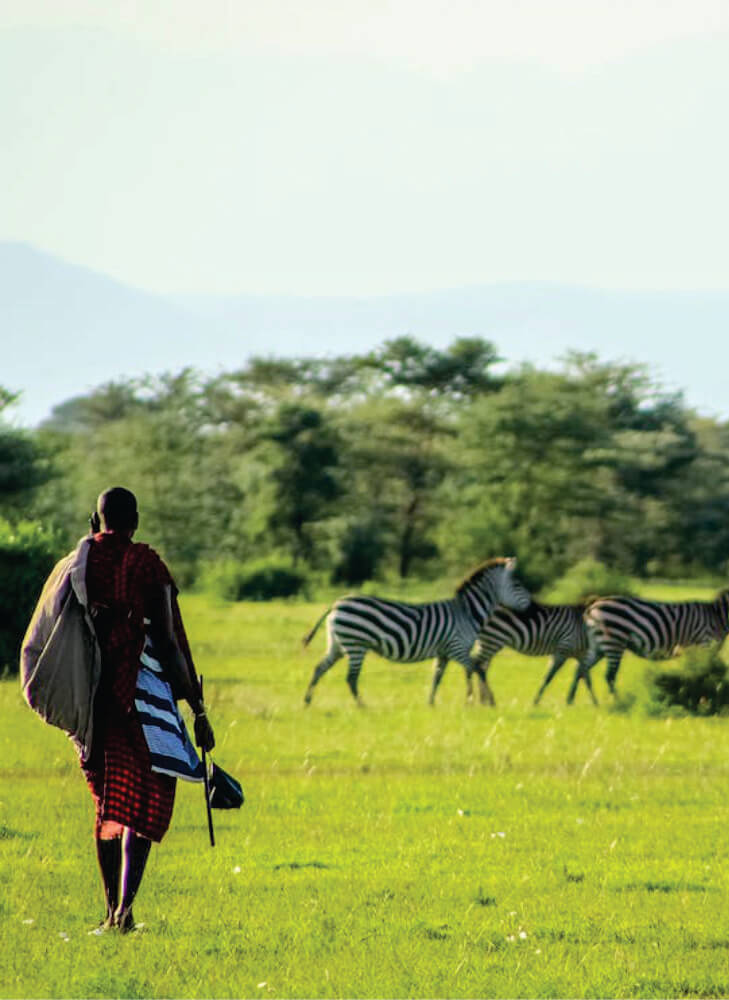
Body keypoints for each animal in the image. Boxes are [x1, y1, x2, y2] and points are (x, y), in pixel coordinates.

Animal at [302, 560, 528, 708]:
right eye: (517, 584)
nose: (531, 605)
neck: (467, 612)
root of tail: (335, 604)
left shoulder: (444, 652)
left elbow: (437, 677)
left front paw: (431, 703)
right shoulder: (457, 648)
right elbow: (477, 669)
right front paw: (487, 701)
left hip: (338, 644)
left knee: (319, 668)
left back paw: (307, 701)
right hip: (356, 644)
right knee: (351, 678)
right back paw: (361, 706)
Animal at [580, 588, 729, 700]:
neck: (716, 616)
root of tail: (594, 604)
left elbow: (700, 672)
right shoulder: (704, 644)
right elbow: (703, 672)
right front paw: (703, 694)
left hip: (599, 645)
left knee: (582, 669)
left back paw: (588, 702)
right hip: (614, 641)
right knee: (609, 676)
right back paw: (617, 702)